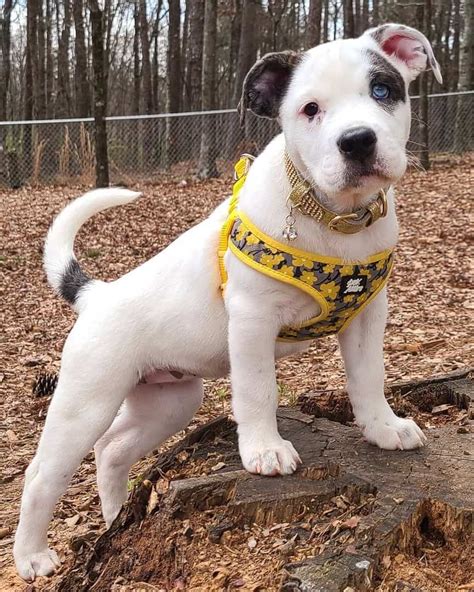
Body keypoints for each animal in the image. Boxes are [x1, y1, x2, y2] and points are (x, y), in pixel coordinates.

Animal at [15, 24, 444, 584]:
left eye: (382, 90)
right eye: (310, 109)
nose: (357, 141)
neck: (333, 220)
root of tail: (98, 295)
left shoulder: (368, 314)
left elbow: (369, 377)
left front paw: (383, 428)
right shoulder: (252, 321)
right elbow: (258, 390)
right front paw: (265, 450)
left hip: (170, 400)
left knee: (111, 452)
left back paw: (113, 521)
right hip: (86, 401)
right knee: (42, 474)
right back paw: (32, 556)